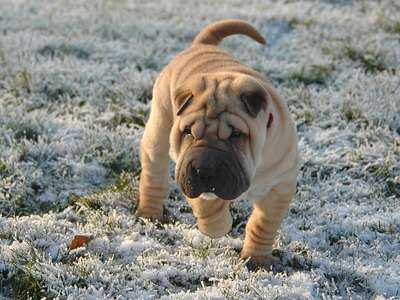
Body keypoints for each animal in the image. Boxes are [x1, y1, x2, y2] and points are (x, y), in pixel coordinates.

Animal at [136, 19, 298, 268]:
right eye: (188, 132)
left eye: (236, 134)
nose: (204, 168)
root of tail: (202, 45)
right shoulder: (188, 173)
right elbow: (208, 205)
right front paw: (219, 227)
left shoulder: (280, 186)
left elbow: (263, 223)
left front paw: (257, 258)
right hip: (159, 131)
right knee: (153, 176)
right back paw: (149, 213)